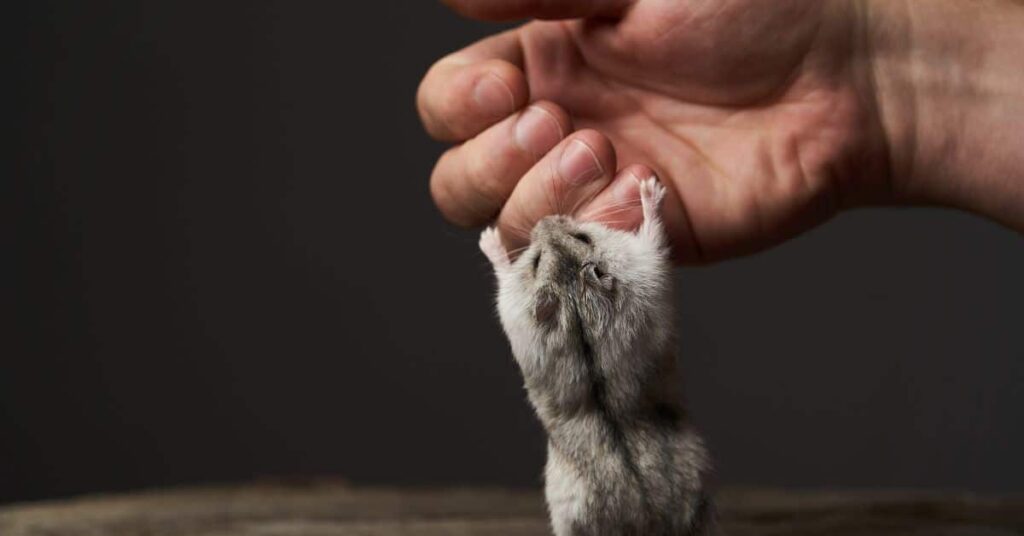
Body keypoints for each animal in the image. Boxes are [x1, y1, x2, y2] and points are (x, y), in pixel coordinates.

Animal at [479, 178, 713, 536]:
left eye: (582, 237)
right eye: (536, 261)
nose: (544, 219)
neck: (576, 295)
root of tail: (643, 514)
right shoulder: (646, 260)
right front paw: (650, 187)